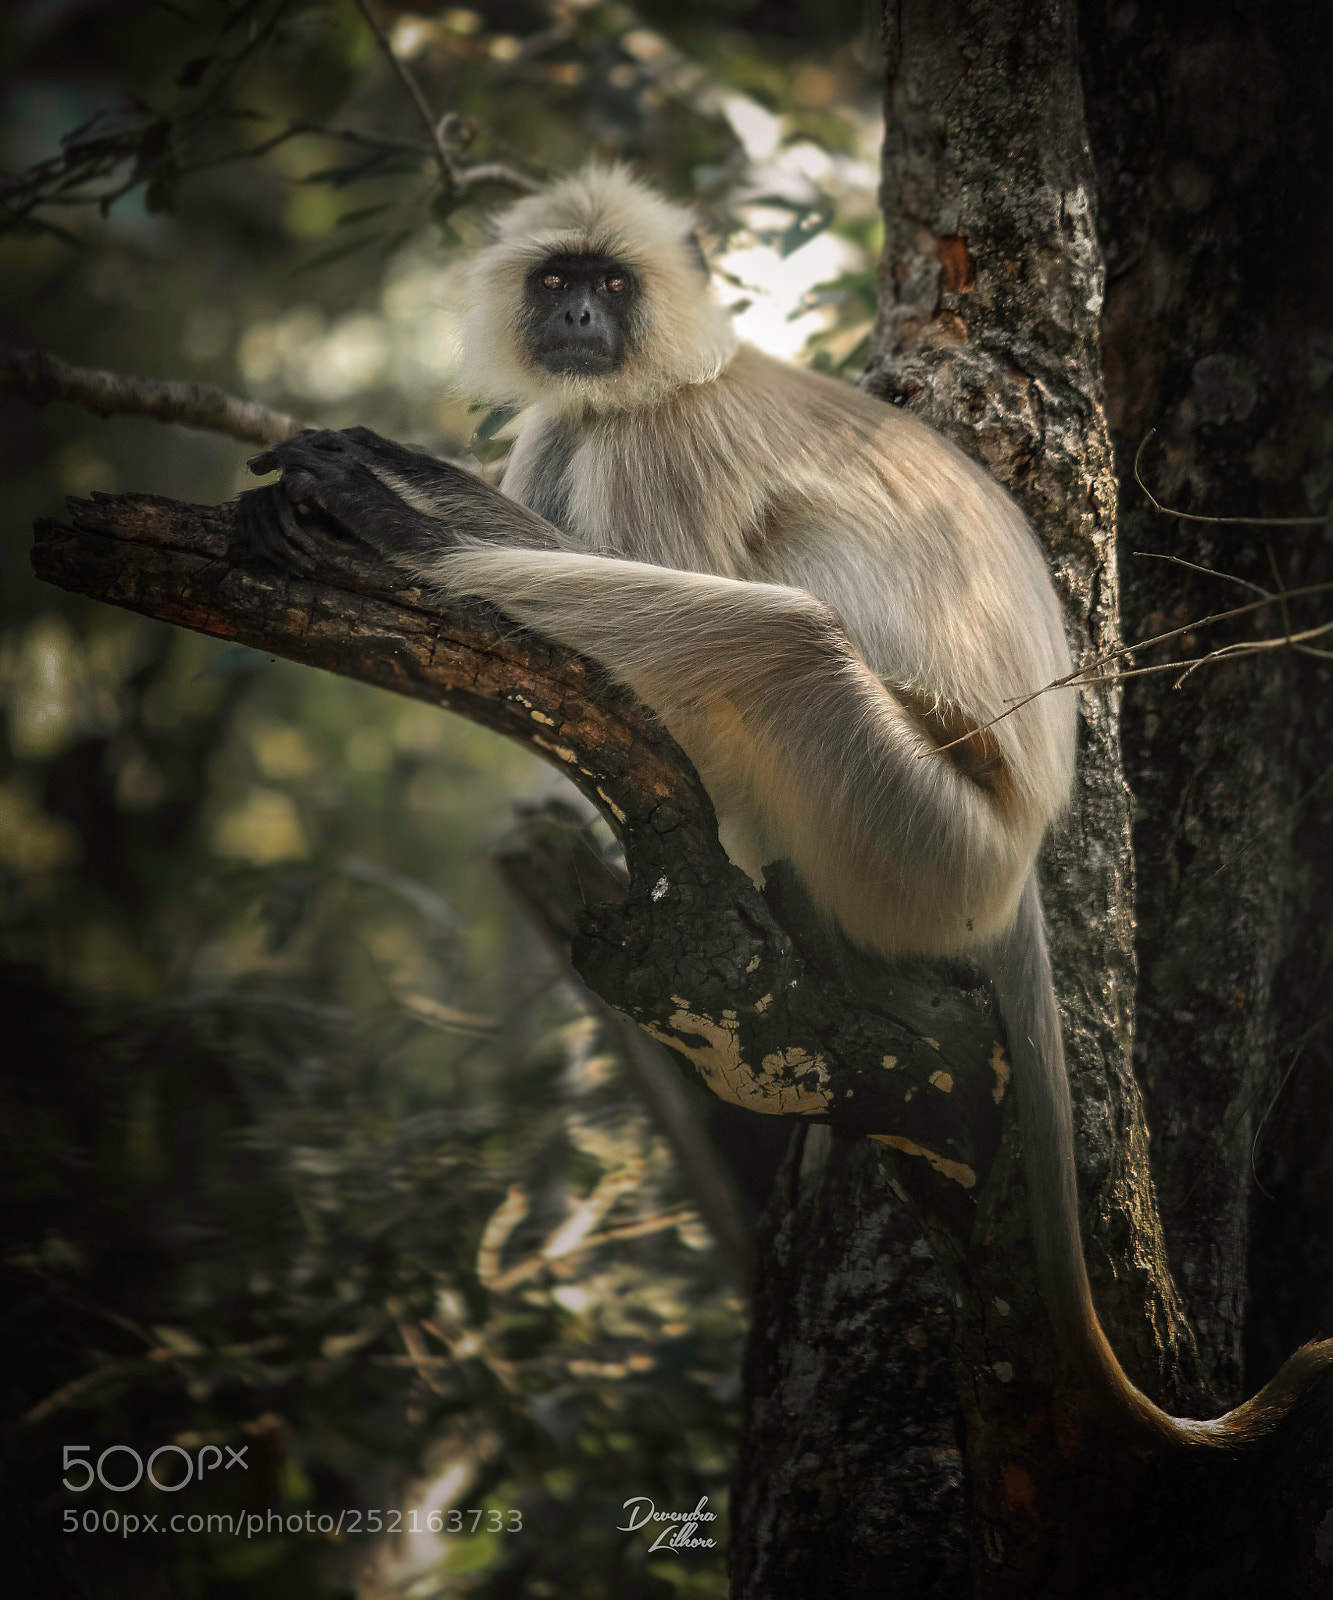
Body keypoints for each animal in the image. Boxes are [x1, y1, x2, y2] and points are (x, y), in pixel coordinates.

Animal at [236, 164, 1329, 1450]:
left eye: (612, 285)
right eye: (556, 281)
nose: (578, 319)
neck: (679, 370)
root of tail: (1020, 856)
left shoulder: (654, 440)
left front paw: (377, 503)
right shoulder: (574, 420)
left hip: (920, 835)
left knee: (783, 632)